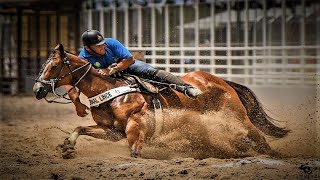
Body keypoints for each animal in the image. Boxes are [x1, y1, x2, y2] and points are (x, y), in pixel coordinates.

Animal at [33, 44, 290, 159]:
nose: (37, 89)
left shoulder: (135, 127)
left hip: (238, 117)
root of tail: (219, 80)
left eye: (53, 66)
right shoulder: (112, 132)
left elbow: (134, 153)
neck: (110, 91)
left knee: (259, 138)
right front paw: (67, 146)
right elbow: (80, 127)